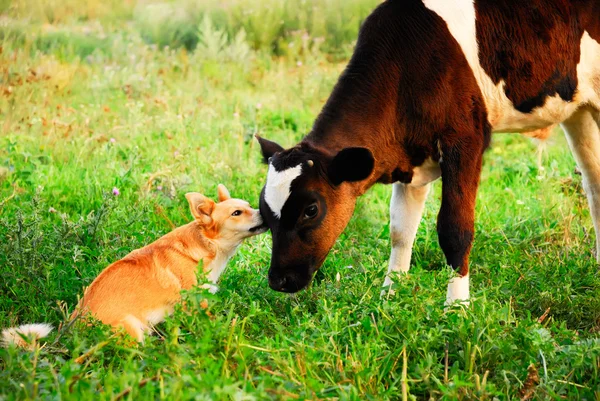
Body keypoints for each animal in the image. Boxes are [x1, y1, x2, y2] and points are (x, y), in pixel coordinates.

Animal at [2, 184, 264, 344]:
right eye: (237, 213)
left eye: (249, 206)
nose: (265, 209)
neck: (208, 247)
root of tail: (69, 332)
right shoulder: (197, 306)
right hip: (133, 329)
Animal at [255, 0, 600, 304]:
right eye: (263, 210)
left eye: (311, 209)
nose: (278, 280)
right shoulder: (411, 159)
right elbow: (400, 230)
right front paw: (389, 297)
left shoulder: (465, 140)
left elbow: (454, 228)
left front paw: (456, 308)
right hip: (578, 111)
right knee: (593, 182)